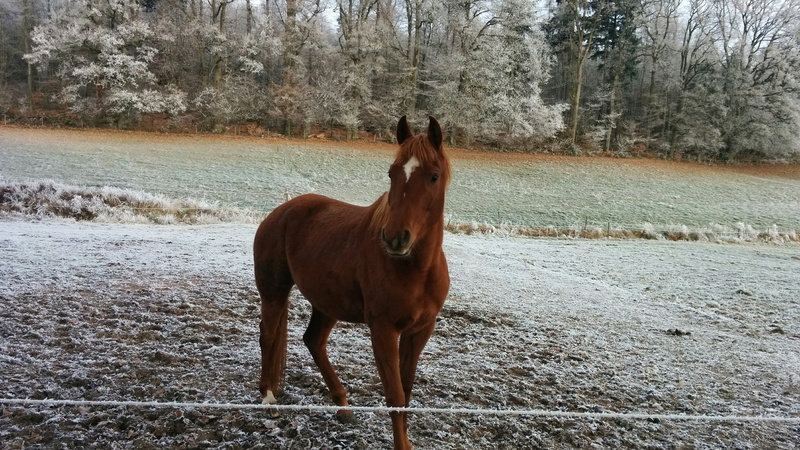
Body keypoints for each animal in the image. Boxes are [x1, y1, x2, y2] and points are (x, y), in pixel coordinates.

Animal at [253, 116, 450, 450]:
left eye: (433, 176)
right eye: (391, 173)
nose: (395, 238)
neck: (415, 269)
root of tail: (280, 212)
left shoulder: (421, 330)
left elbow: (407, 391)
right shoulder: (383, 329)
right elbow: (395, 395)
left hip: (327, 304)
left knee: (314, 341)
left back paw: (343, 406)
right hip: (274, 294)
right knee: (267, 336)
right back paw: (268, 398)